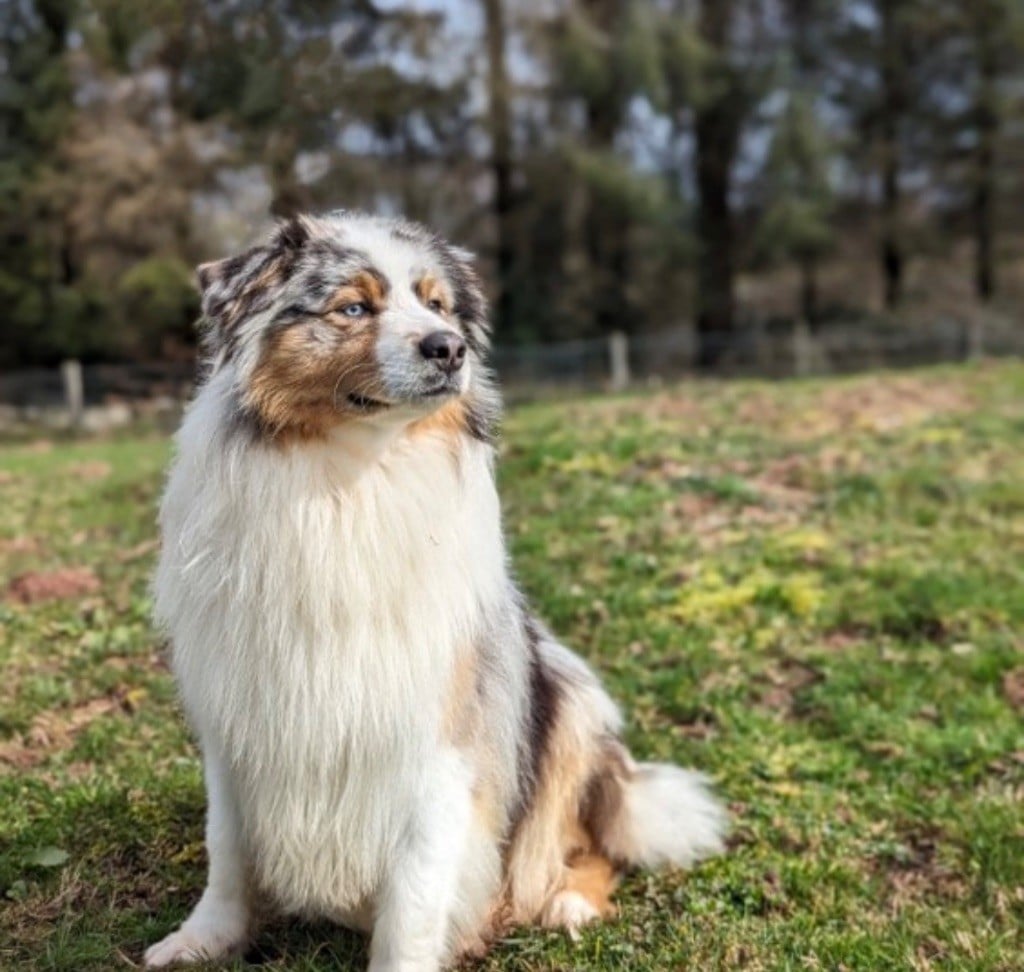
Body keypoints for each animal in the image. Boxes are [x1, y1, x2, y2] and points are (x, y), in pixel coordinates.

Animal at [146, 212, 729, 970]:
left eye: (438, 306)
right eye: (353, 308)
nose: (448, 348)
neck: (351, 484)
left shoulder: (438, 739)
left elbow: (415, 897)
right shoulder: (237, 717)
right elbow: (227, 849)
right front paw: (202, 940)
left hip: (568, 700)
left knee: (586, 840)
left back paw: (568, 900)